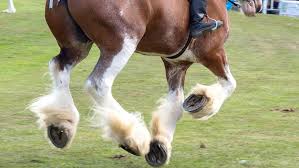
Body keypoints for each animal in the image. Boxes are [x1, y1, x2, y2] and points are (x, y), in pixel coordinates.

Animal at [28, 0, 262, 166]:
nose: (258, 7)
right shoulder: (212, 53)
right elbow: (230, 84)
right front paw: (201, 101)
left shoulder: (176, 64)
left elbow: (175, 105)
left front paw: (159, 146)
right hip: (121, 44)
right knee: (98, 83)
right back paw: (132, 137)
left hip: (77, 46)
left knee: (59, 67)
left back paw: (61, 124)